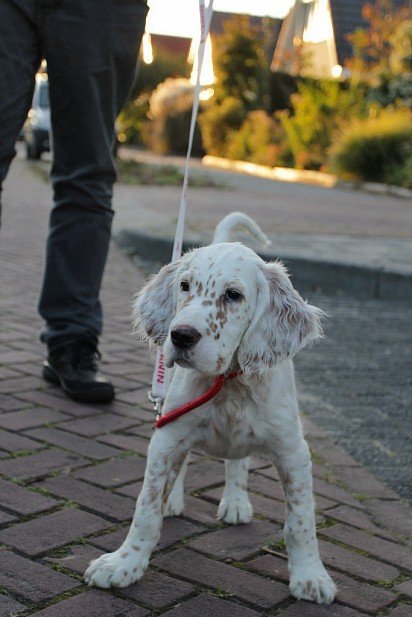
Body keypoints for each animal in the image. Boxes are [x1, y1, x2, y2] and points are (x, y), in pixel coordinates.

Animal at [84, 212, 338, 600]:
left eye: (233, 295)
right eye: (184, 286)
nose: (180, 336)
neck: (228, 384)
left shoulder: (293, 451)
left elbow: (301, 521)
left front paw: (311, 576)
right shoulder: (166, 436)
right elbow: (146, 508)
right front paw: (124, 563)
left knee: (238, 462)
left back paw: (235, 501)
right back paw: (173, 499)